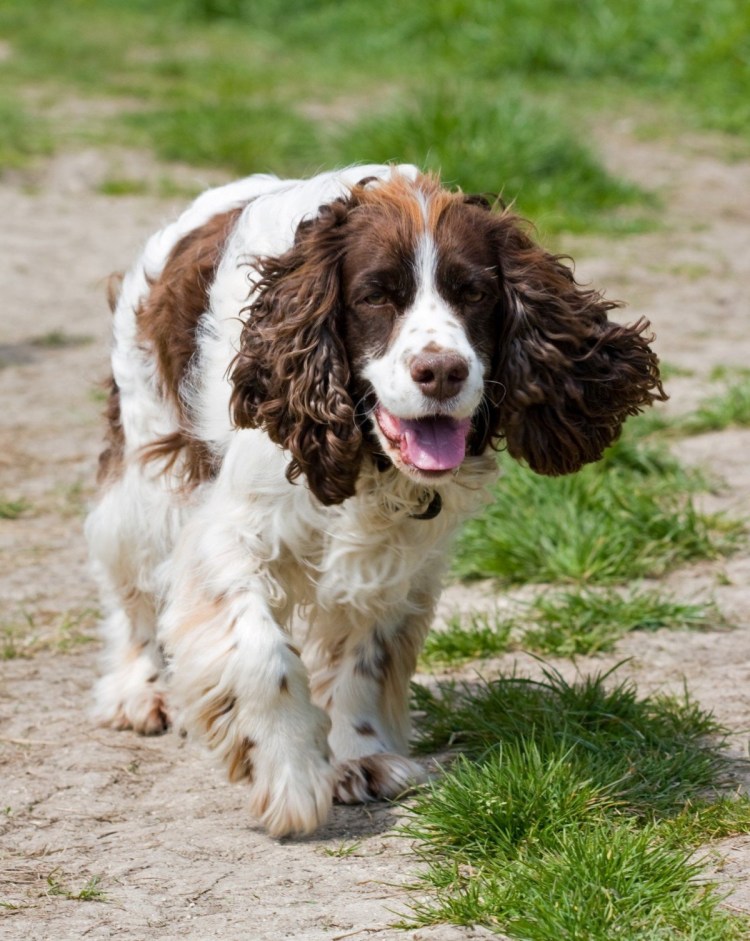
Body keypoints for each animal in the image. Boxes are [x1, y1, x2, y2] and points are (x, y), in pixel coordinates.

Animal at [86, 165, 664, 837]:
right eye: (375, 297)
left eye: (474, 293)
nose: (441, 371)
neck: (366, 457)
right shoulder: (229, 535)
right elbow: (263, 654)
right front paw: (291, 774)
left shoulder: (396, 559)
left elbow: (363, 657)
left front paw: (358, 755)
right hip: (149, 473)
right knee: (133, 593)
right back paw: (139, 690)